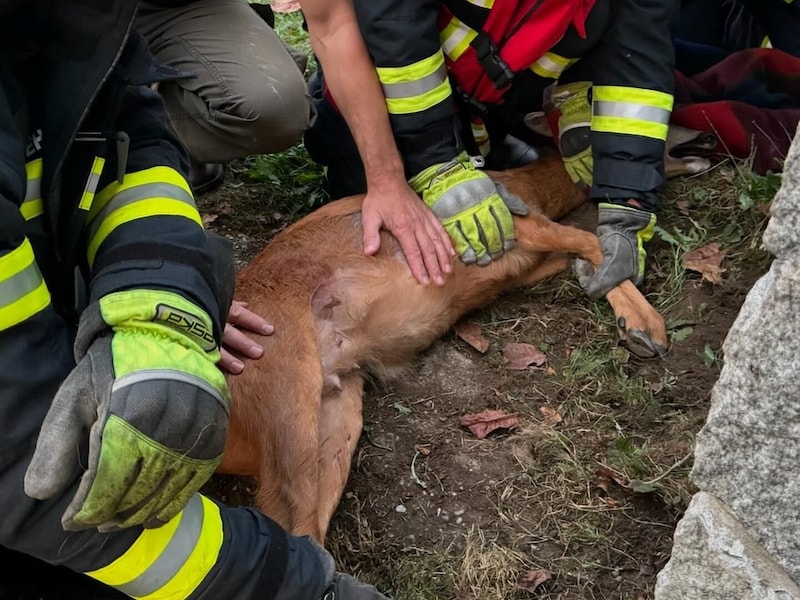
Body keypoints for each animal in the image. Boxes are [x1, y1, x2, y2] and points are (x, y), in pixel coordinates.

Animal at [216, 130, 716, 544]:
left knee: (309, 527)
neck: (523, 186)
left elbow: (580, 256)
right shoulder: (514, 222)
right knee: (287, 518)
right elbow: (588, 239)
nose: (706, 138)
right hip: (286, 394)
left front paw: (609, 295)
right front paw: (644, 324)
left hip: (337, 410)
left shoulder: (521, 266)